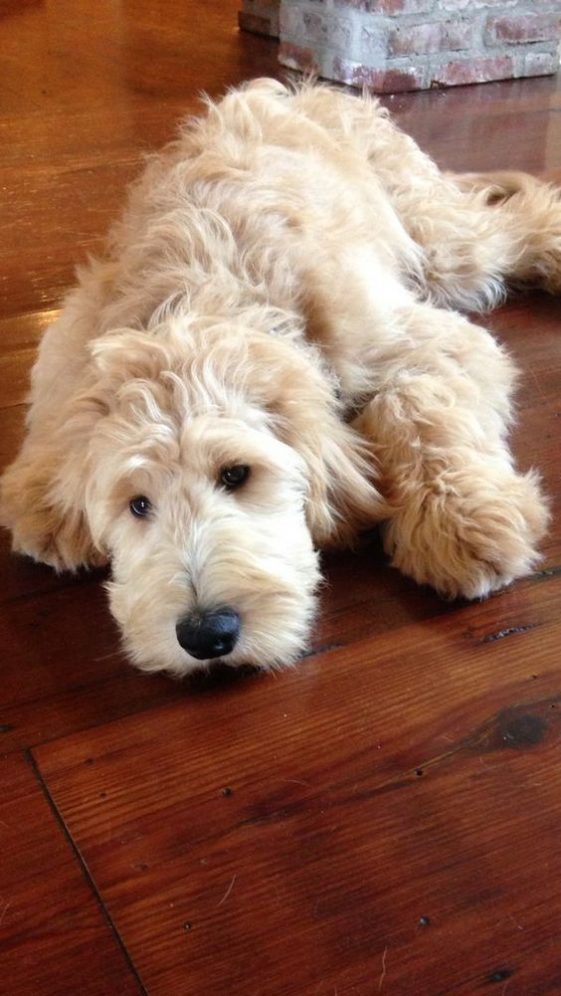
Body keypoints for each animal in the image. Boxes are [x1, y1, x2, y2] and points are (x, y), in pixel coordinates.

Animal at [0, 80, 552, 676]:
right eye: (138, 504)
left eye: (236, 474)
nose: (206, 634)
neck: (204, 296)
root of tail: (304, 90)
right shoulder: (79, 326)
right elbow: (58, 398)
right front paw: (45, 490)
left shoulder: (413, 337)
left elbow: (418, 400)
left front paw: (462, 516)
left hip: (441, 247)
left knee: (513, 223)